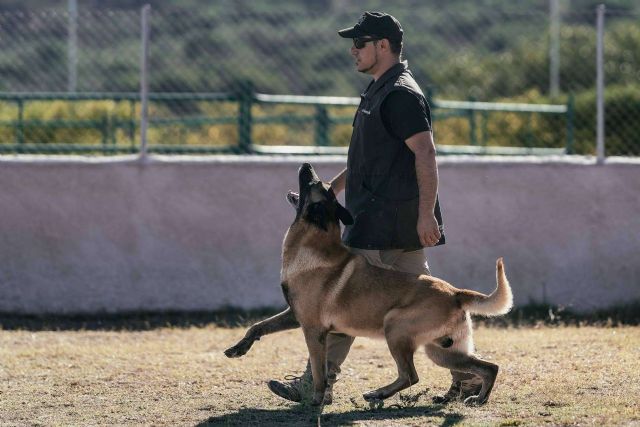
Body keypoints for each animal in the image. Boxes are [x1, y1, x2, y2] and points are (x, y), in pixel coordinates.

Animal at [226, 162, 516, 406]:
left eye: (313, 183)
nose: (306, 164)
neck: (314, 242)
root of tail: (455, 292)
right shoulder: (293, 315)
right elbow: (257, 326)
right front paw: (237, 348)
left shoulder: (312, 330)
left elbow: (319, 370)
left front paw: (316, 400)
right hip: (441, 351)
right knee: (488, 367)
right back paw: (478, 398)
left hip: (395, 328)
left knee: (411, 375)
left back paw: (379, 393)